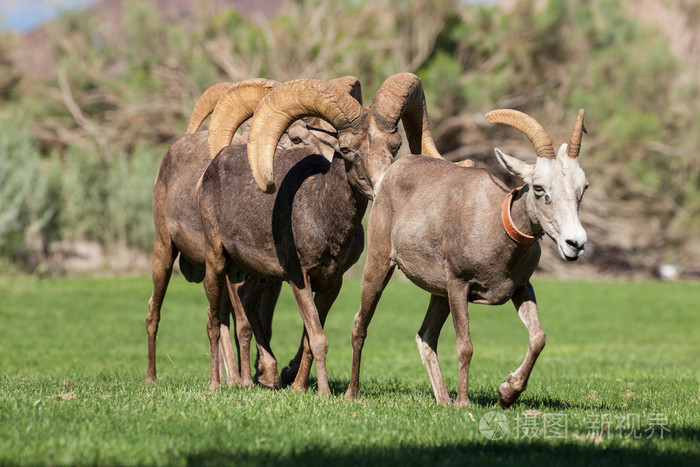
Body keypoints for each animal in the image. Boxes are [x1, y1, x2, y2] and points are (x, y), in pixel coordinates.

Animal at [146, 77, 358, 388]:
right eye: (296, 138)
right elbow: (244, 323)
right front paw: (254, 378)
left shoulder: (275, 277)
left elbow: (283, 325)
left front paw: (278, 374)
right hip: (166, 250)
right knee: (158, 311)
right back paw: (161, 377)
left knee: (218, 315)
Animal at [197, 73, 442, 394]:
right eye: (346, 149)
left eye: (395, 146)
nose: (383, 185)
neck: (322, 217)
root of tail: (214, 165)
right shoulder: (298, 277)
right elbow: (318, 340)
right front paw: (323, 393)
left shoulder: (331, 283)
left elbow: (309, 341)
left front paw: (298, 387)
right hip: (216, 260)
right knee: (213, 321)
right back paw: (216, 385)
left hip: (258, 274)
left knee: (245, 300)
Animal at [348, 109, 588, 410]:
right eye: (538, 187)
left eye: (583, 188)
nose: (576, 243)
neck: (494, 227)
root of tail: (390, 174)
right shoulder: (459, 286)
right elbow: (465, 346)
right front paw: (464, 403)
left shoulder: (521, 288)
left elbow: (538, 338)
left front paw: (507, 393)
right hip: (381, 265)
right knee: (360, 324)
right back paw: (353, 394)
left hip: (438, 295)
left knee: (425, 337)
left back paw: (443, 401)